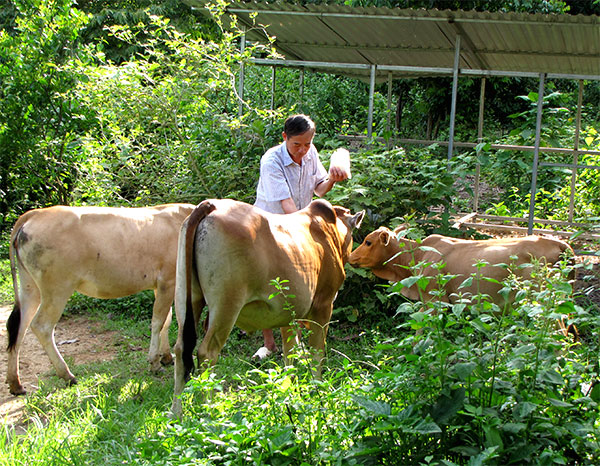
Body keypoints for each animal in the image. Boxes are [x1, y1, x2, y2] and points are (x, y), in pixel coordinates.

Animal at [7, 204, 195, 394]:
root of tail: (35, 214)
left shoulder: (160, 285)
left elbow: (166, 321)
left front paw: (166, 357)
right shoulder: (168, 281)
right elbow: (158, 321)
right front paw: (155, 363)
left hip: (30, 287)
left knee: (19, 327)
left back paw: (15, 383)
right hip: (57, 287)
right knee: (41, 326)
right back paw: (67, 375)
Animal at [171, 198, 364, 416]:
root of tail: (211, 204)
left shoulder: (288, 314)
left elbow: (290, 353)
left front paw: (291, 391)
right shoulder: (323, 305)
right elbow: (317, 353)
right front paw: (319, 390)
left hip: (187, 299)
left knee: (181, 350)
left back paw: (176, 413)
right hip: (226, 305)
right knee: (207, 353)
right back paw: (210, 411)